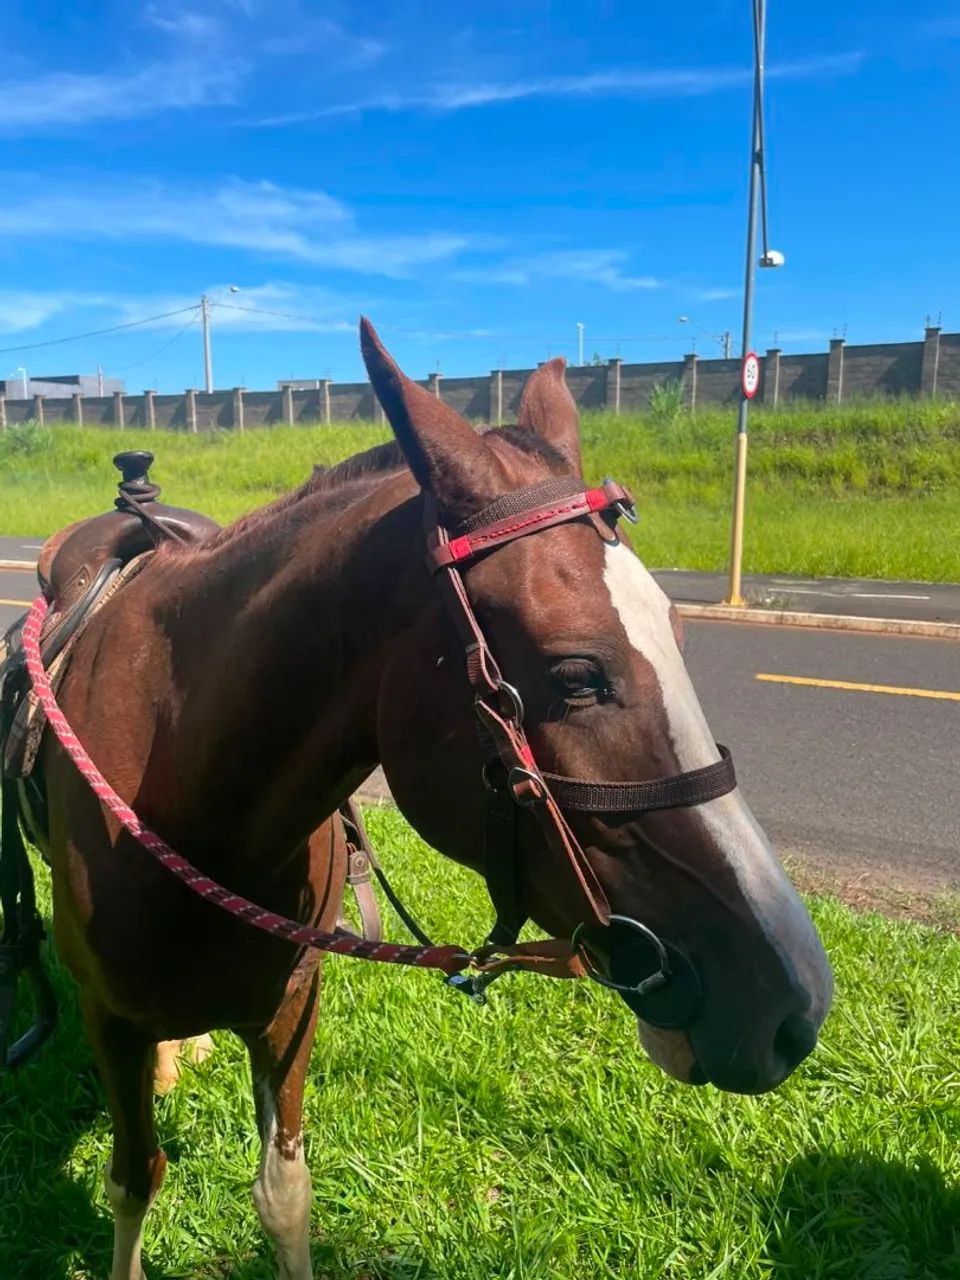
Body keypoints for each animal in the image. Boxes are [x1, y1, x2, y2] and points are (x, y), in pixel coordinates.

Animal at [9, 318, 832, 1279]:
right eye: (576, 676)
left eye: (677, 633)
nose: (795, 1003)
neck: (185, 794)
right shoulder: (107, 1017)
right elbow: (135, 1179)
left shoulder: (291, 1004)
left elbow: (283, 1196)